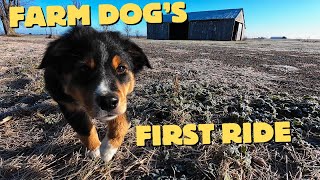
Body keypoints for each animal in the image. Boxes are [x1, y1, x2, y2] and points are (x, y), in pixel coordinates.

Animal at [38, 26, 151, 162]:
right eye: (84, 69)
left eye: (121, 68)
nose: (108, 102)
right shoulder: (69, 105)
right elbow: (84, 128)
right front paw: (95, 150)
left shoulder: (121, 100)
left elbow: (121, 122)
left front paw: (108, 149)